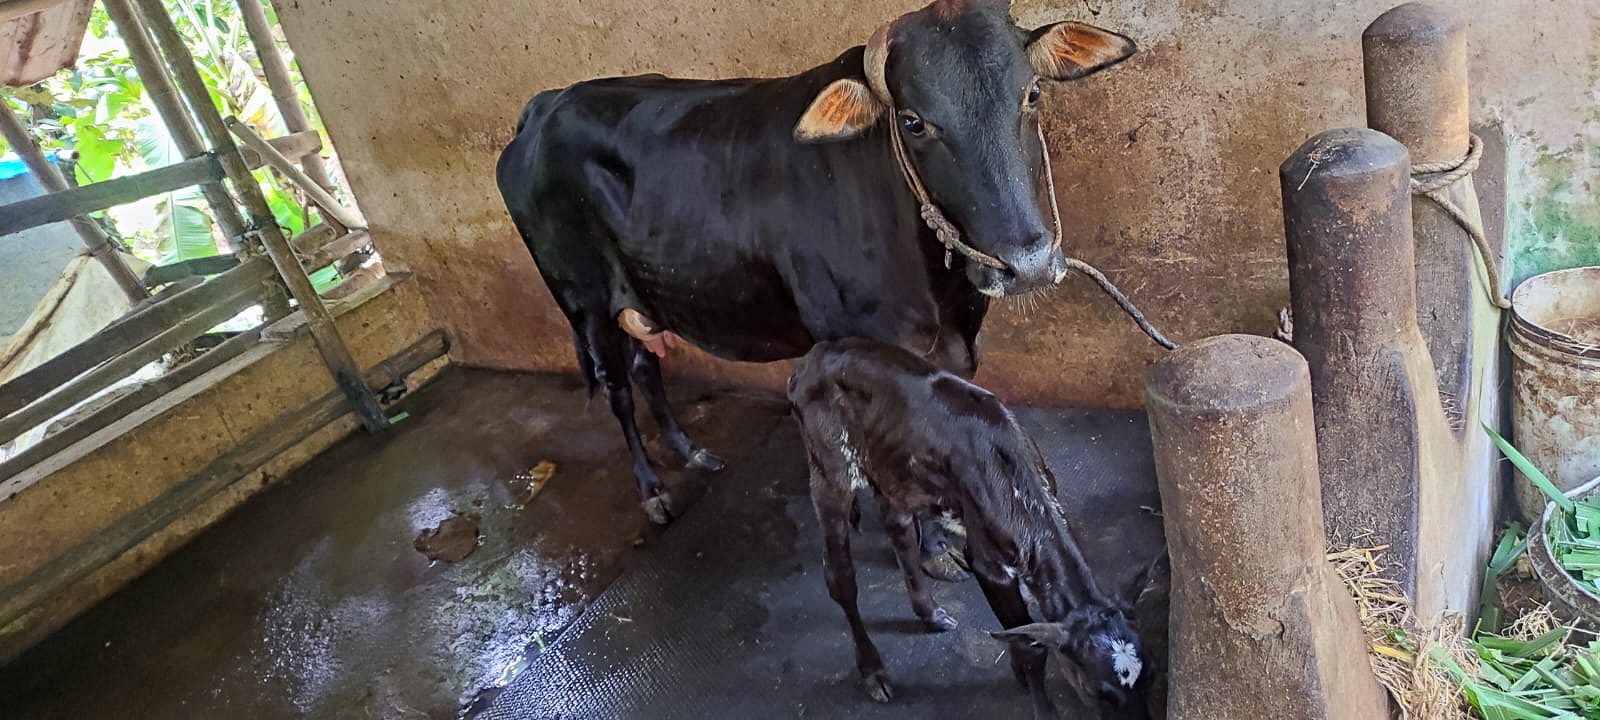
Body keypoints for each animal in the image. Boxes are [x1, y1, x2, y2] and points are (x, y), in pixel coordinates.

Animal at [494, 0, 1137, 530]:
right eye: (913, 121)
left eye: (1033, 94)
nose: (1026, 264)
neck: (943, 295)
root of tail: (546, 104)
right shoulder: (854, 342)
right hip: (583, 299)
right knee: (617, 387)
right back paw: (653, 491)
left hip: (641, 295)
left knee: (646, 366)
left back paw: (690, 451)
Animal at [787, 338, 1155, 718]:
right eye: (1097, 691)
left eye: (1153, 674)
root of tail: (811, 359)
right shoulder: (987, 559)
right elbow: (1029, 647)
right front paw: (1041, 705)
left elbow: (1021, 632)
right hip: (830, 469)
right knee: (840, 576)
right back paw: (872, 670)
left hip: (895, 470)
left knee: (899, 528)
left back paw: (930, 614)